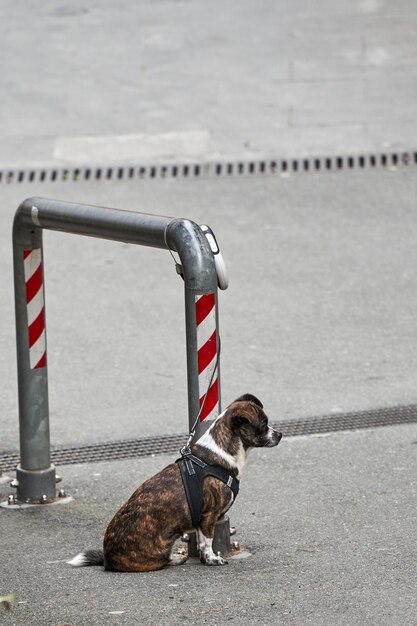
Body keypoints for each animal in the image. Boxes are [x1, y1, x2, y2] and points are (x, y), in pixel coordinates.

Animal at [68, 394, 282, 572]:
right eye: (264, 424)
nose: (279, 434)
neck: (220, 453)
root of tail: (107, 559)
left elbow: (201, 542)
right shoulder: (209, 516)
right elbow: (207, 541)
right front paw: (212, 559)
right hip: (160, 547)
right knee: (162, 562)